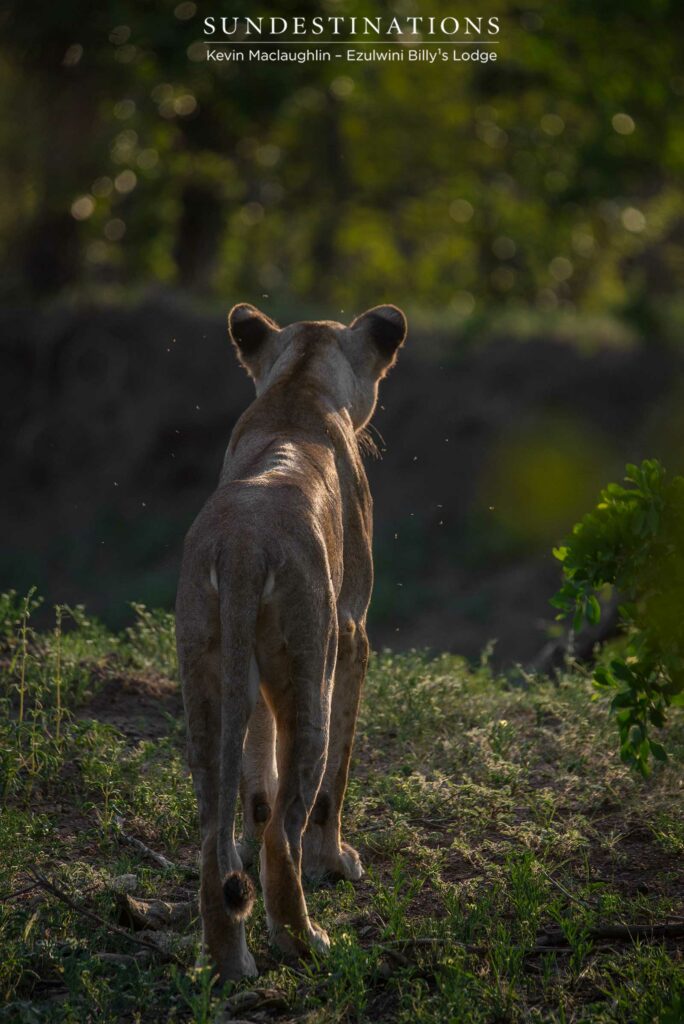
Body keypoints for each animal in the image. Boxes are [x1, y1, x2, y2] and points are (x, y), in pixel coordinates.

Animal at [175, 302, 407, 980]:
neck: (297, 390)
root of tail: (243, 549)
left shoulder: (250, 684)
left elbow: (256, 785)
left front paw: (247, 849)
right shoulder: (352, 633)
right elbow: (333, 781)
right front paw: (336, 862)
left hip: (206, 678)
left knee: (212, 831)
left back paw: (231, 962)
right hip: (311, 666)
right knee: (288, 828)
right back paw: (309, 941)